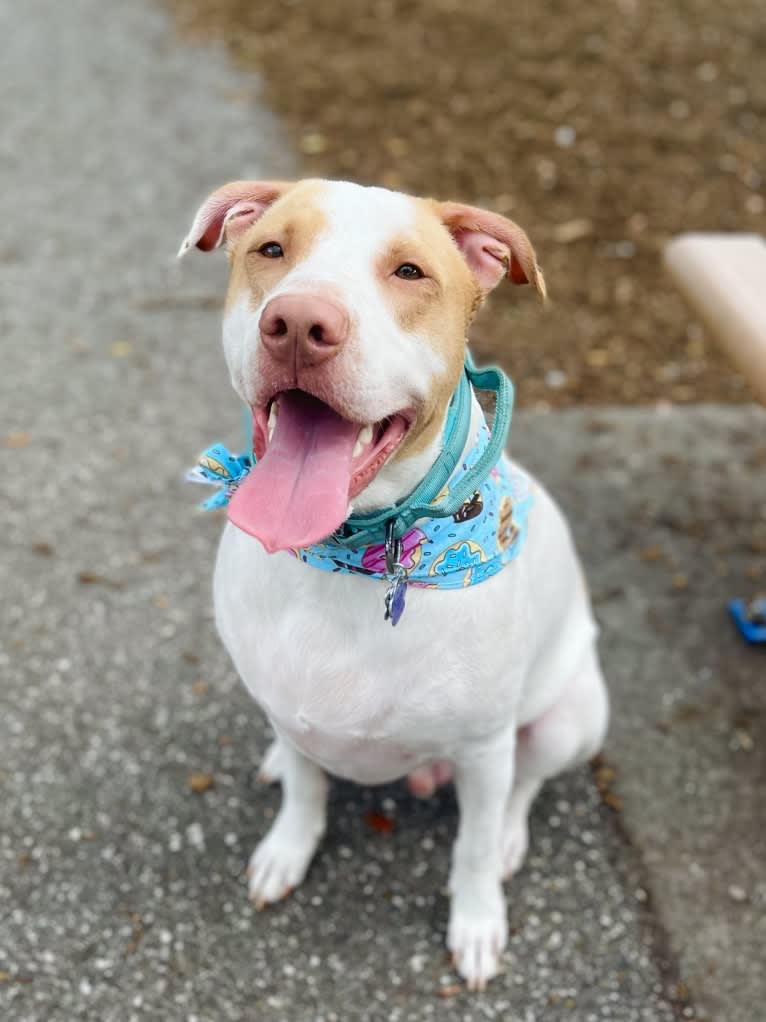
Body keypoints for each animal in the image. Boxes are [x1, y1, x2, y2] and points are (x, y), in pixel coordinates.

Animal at [179, 177, 612, 989]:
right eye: (271, 250)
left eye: (410, 272)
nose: (297, 323)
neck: (353, 553)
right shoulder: (285, 704)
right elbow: (307, 791)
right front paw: (287, 848)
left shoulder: (483, 748)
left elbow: (471, 846)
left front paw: (476, 922)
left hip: (571, 718)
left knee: (524, 786)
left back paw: (510, 842)